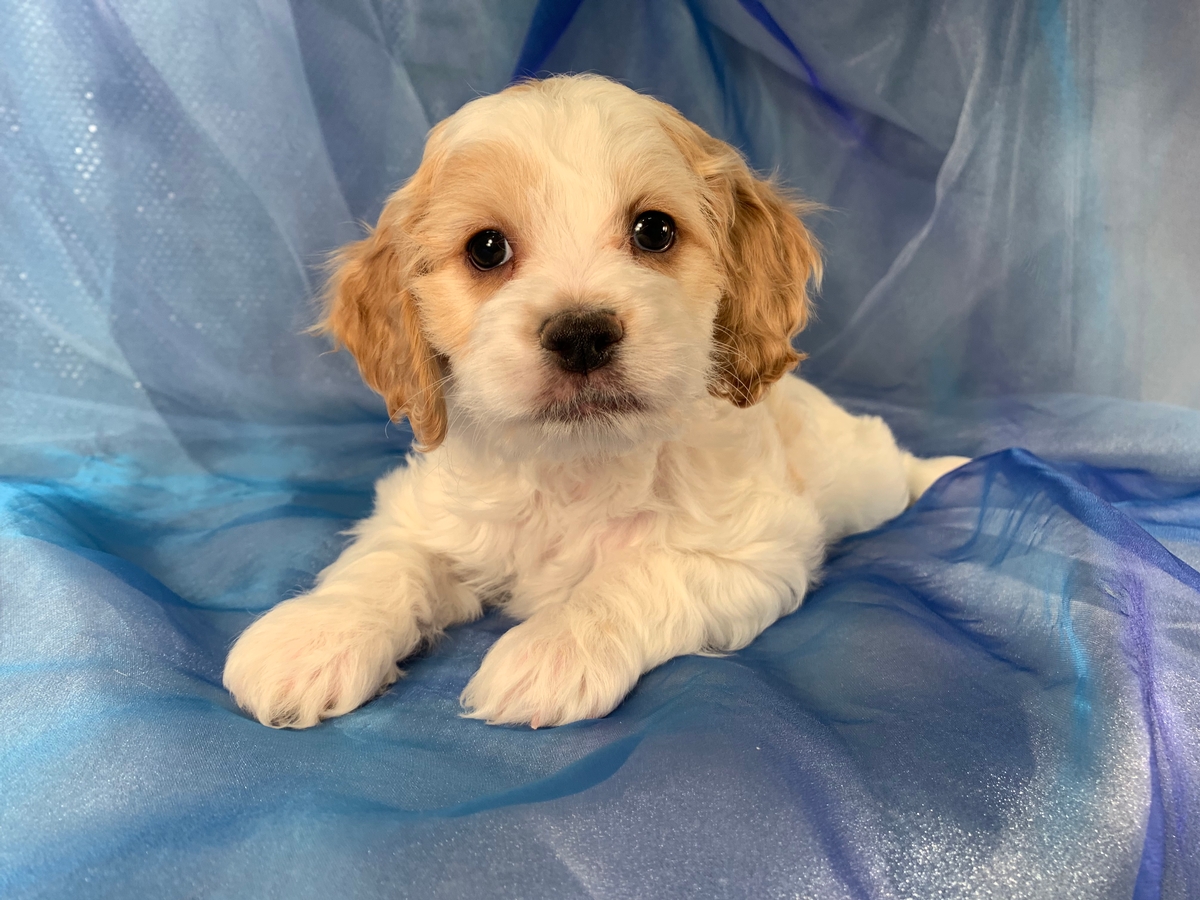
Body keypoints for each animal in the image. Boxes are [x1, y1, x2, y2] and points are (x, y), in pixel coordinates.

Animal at [225, 74, 969, 729]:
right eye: (486, 248)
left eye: (654, 231)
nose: (581, 334)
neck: (575, 464)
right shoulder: (424, 512)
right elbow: (386, 561)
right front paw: (312, 638)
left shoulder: (751, 548)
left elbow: (636, 577)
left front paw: (554, 649)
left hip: (860, 475)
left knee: (894, 463)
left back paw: (949, 471)